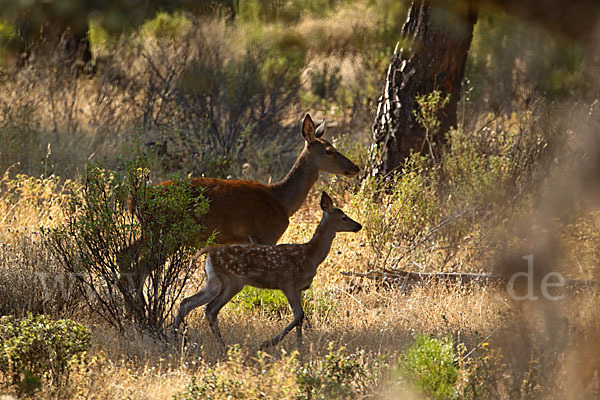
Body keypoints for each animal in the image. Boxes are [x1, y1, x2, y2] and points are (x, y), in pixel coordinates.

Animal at [119, 113, 358, 296]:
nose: (355, 167)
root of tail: (134, 200)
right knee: (139, 268)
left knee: (126, 254)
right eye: (329, 151)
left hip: (151, 231)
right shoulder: (265, 234)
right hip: (163, 232)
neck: (281, 200)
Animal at [171, 192, 364, 348]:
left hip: (213, 282)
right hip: (231, 281)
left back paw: (175, 336)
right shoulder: (287, 283)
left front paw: (300, 347)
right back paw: (222, 347)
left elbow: (300, 318)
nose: (359, 226)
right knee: (210, 309)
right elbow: (299, 315)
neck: (310, 255)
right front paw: (268, 343)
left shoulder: (298, 288)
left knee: (187, 302)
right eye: (344, 217)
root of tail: (210, 252)